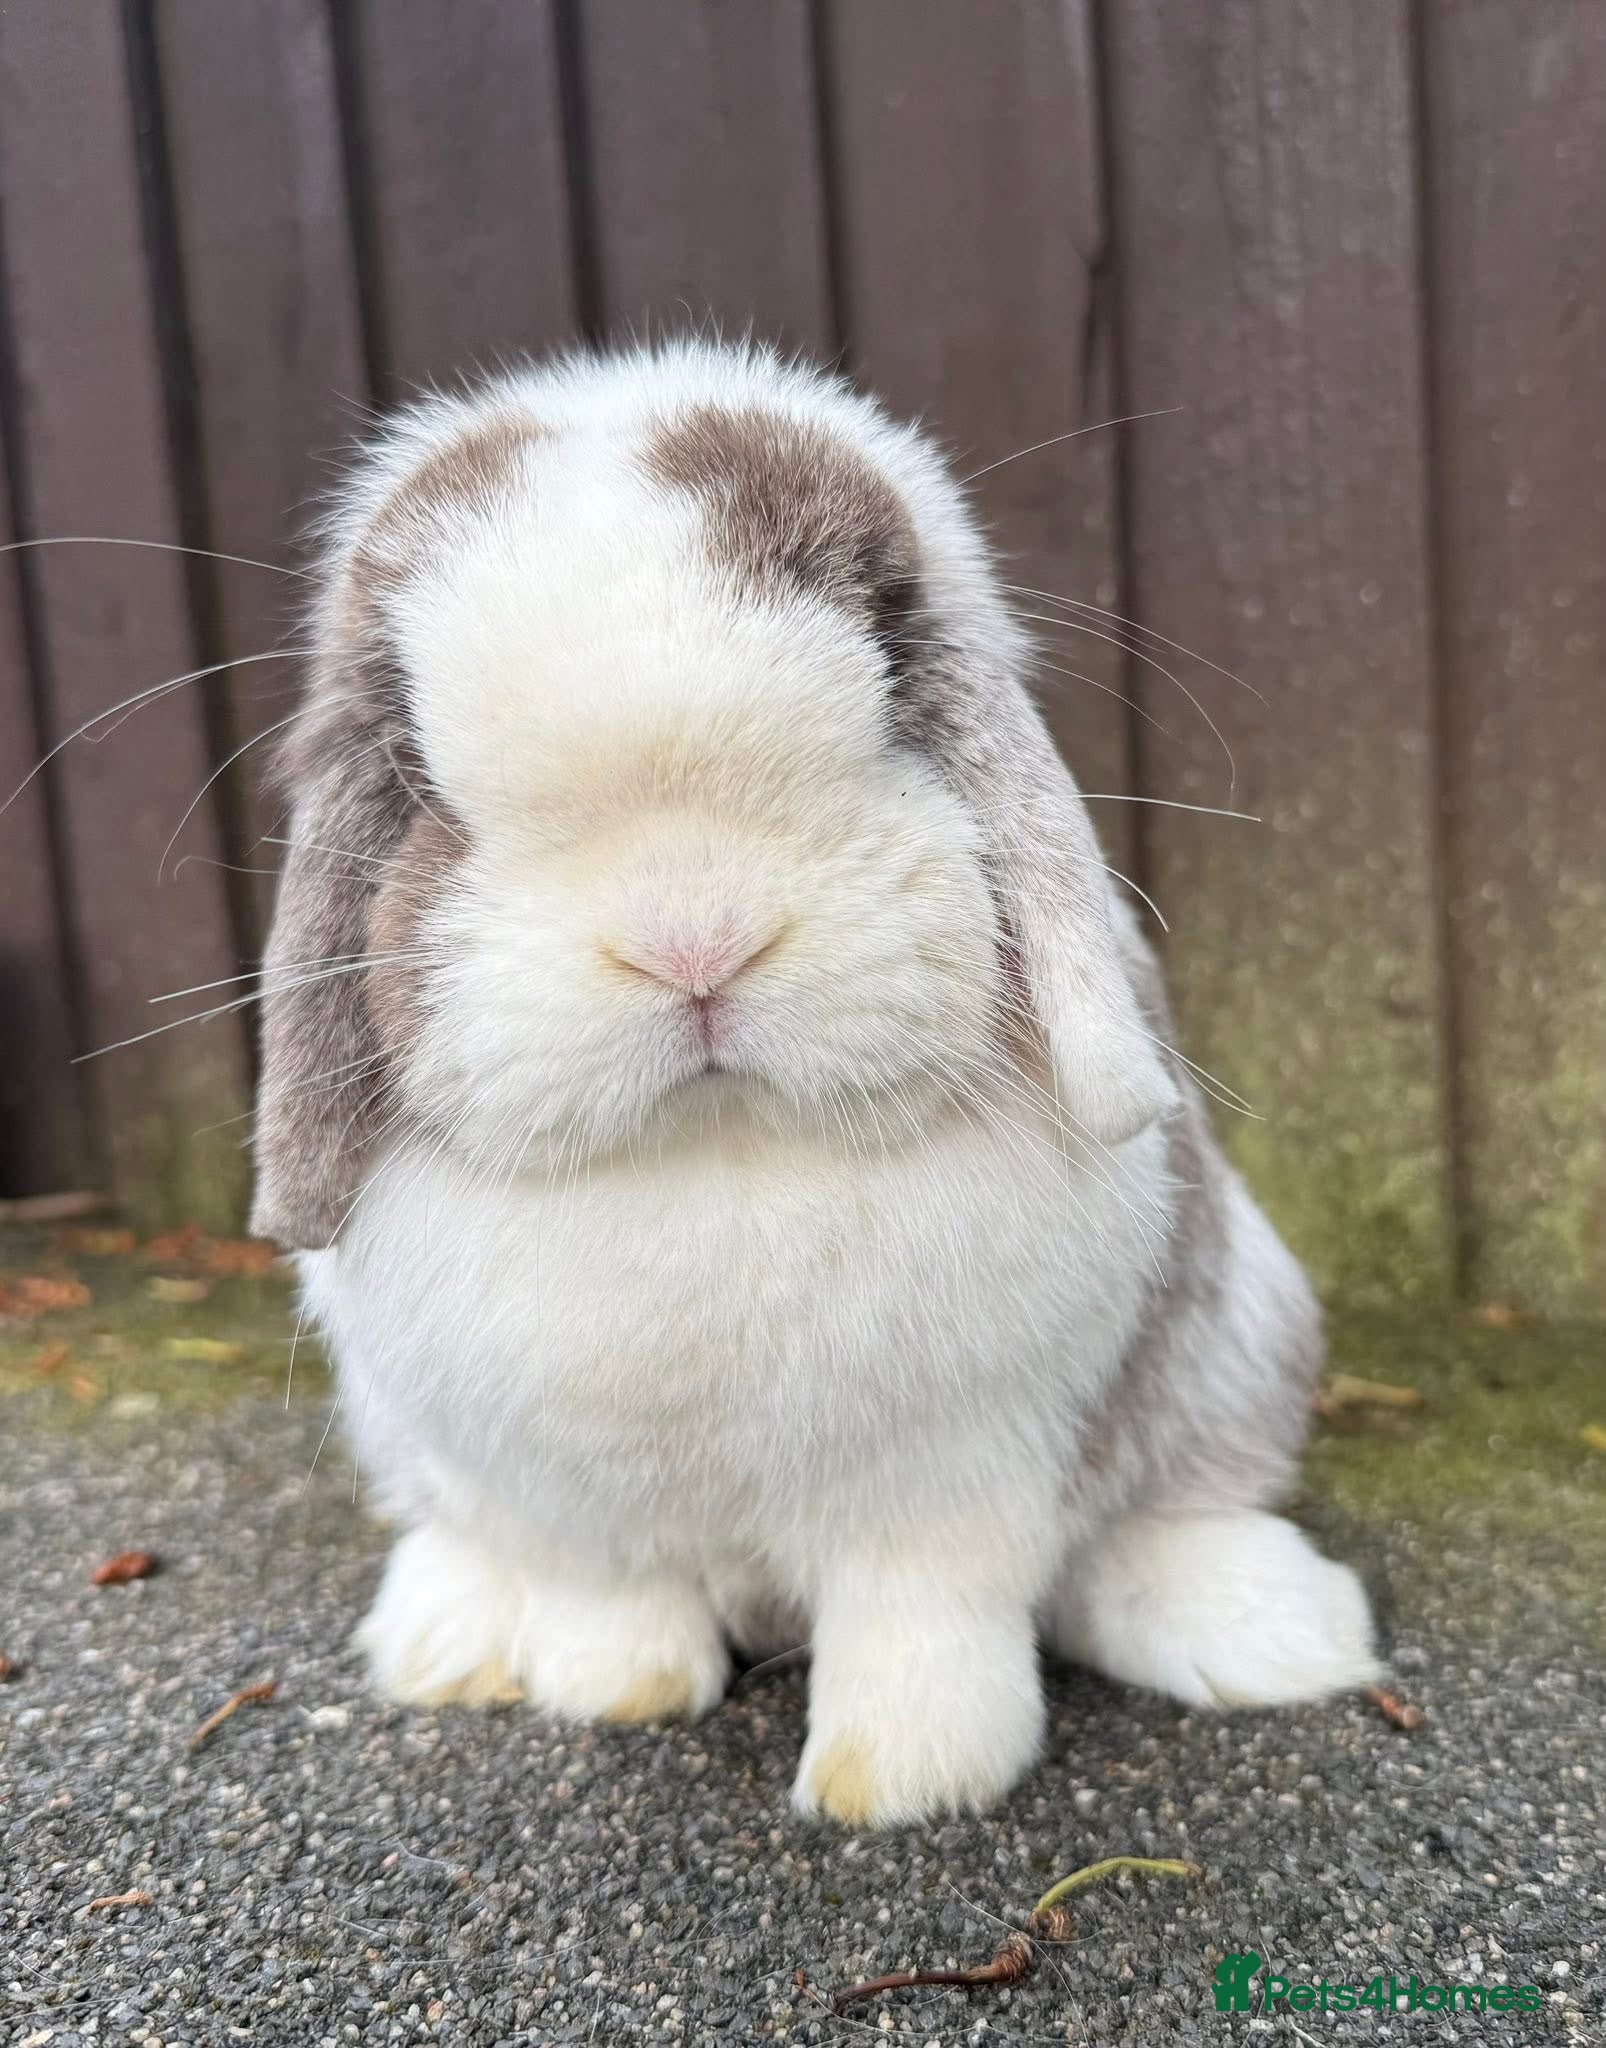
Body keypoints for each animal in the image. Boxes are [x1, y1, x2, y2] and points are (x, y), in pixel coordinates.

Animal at [253, 338, 1377, 1828]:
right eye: (416, 777)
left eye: (894, 687)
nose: (692, 939)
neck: (720, 1150)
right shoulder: (567, 1500)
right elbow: (608, 1599)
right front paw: (610, 1693)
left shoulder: (951, 1479)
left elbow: (924, 1625)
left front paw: (902, 1784)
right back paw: (446, 1638)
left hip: (1239, 1344)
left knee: (1151, 1524)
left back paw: (1274, 1632)